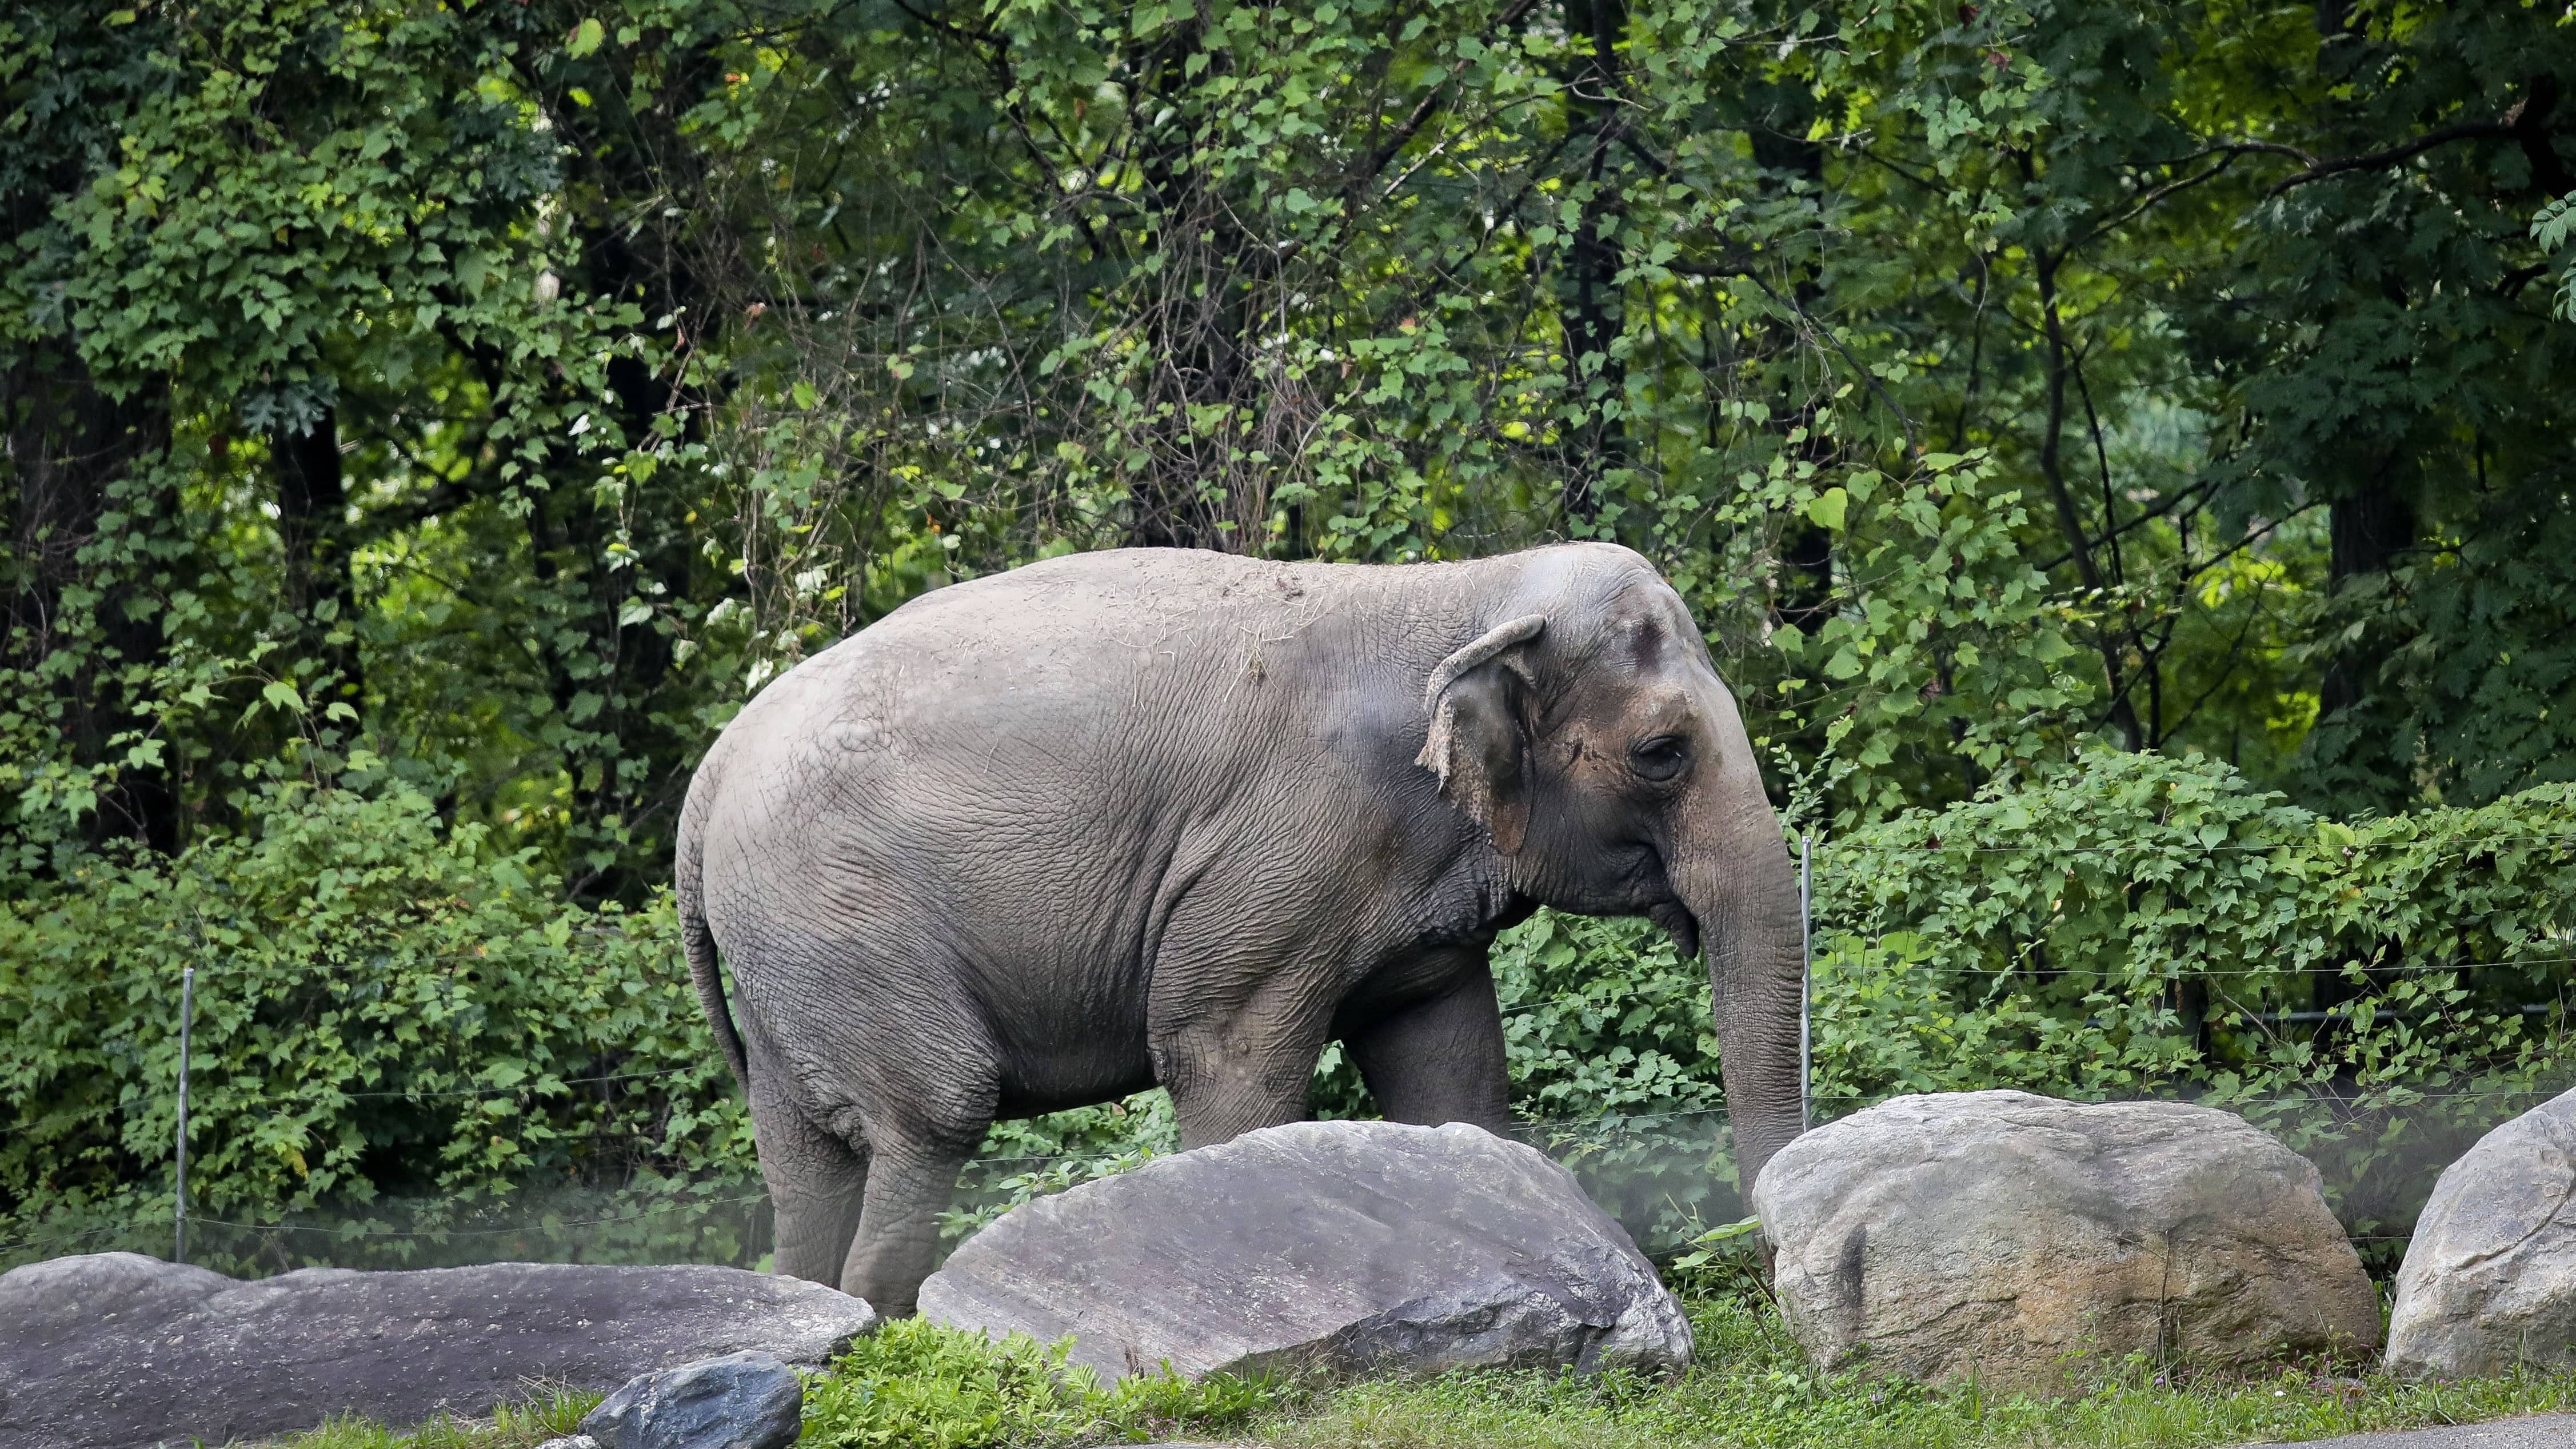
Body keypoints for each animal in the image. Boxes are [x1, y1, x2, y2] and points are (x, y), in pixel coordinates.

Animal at [685, 538, 1813, 1310]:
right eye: (1663, 753)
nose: (1768, 1277)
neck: (1461, 590)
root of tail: (711, 772)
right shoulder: (1282, 853)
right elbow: (1225, 1058)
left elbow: (1447, 1063)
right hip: (842, 916)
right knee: (933, 1112)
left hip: (789, 955)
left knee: (803, 1158)